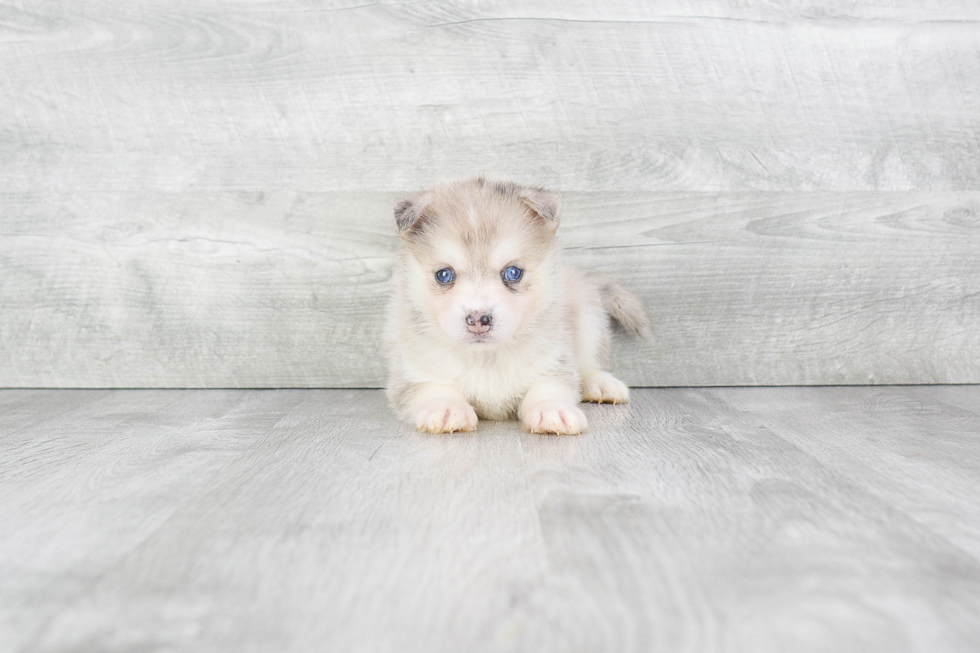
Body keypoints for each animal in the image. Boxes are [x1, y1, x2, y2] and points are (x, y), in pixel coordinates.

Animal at [384, 176, 652, 436]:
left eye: (513, 272)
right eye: (444, 275)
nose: (478, 320)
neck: (486, 359)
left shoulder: (554, 360)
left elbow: (549, 386)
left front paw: (551, 409)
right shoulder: (411, 373)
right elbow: (432, 388)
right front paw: (446, 408)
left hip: (589, 316)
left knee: (589, 364)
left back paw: (601, 384)